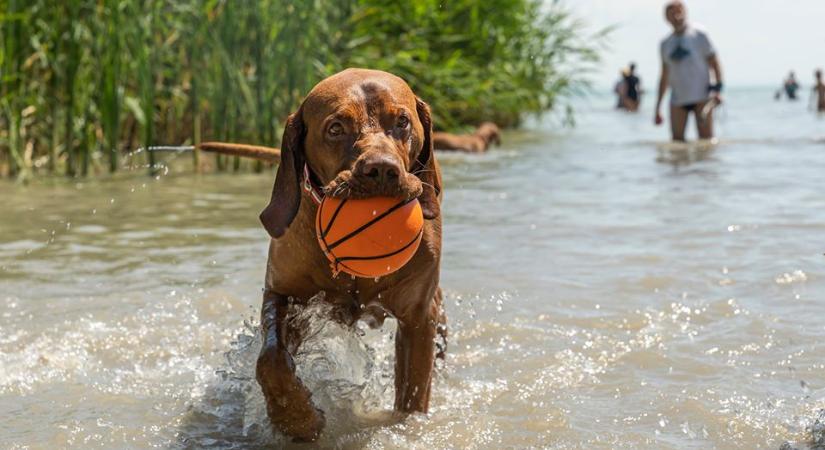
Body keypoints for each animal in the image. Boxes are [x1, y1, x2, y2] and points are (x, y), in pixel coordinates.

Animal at [256, 68, 444, 442]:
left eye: (401, 122)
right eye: (336, 128)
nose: (382, 169)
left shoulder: (418, 318)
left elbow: (414, 395)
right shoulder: (282, 295)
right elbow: (270, 360)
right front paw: (298, 419)